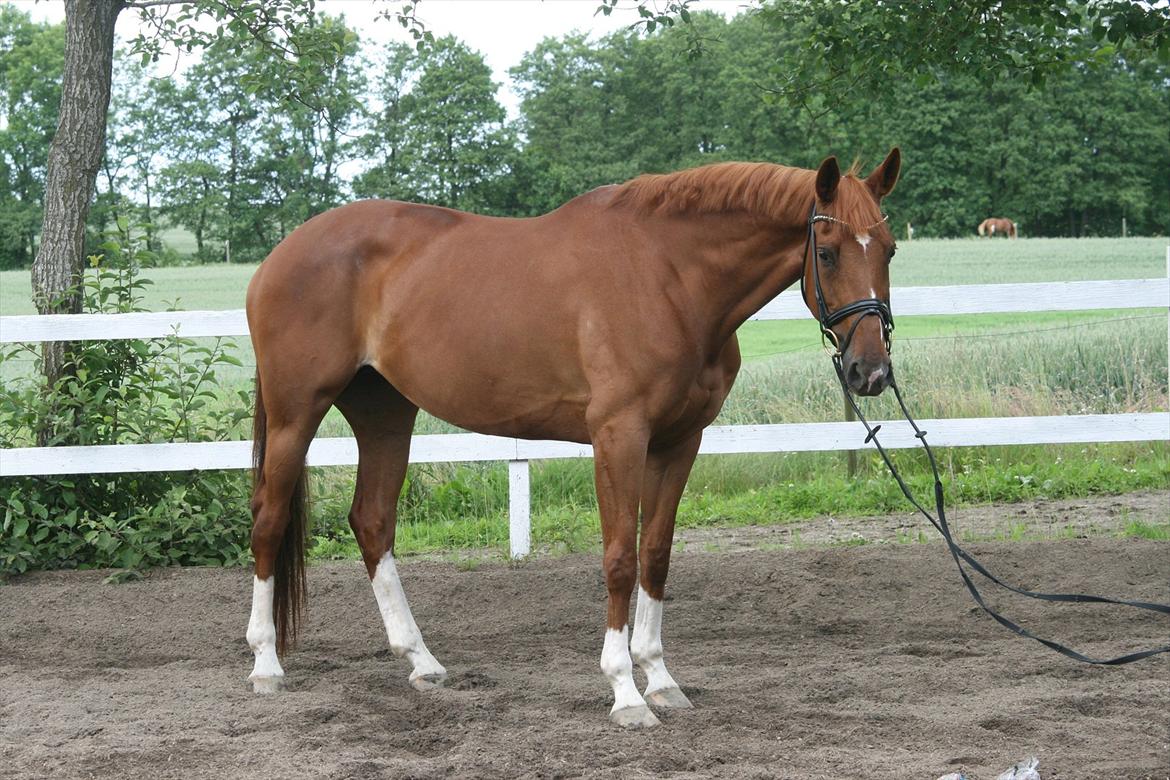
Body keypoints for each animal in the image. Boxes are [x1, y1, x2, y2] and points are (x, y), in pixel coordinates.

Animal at [244, 149, 903, 729]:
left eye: (890, 250)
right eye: (827, 252)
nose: (870, 373)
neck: (669, 276)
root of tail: (281, 253)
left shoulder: (679, 442)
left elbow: (655, 554)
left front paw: (661, 680)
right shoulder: (619, 436)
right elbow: (618, 559)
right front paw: (625, 694)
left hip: (384, 413)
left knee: (373, 521)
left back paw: (421, 662)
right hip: (296, 412)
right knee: (269, 521)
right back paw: (266, 666)